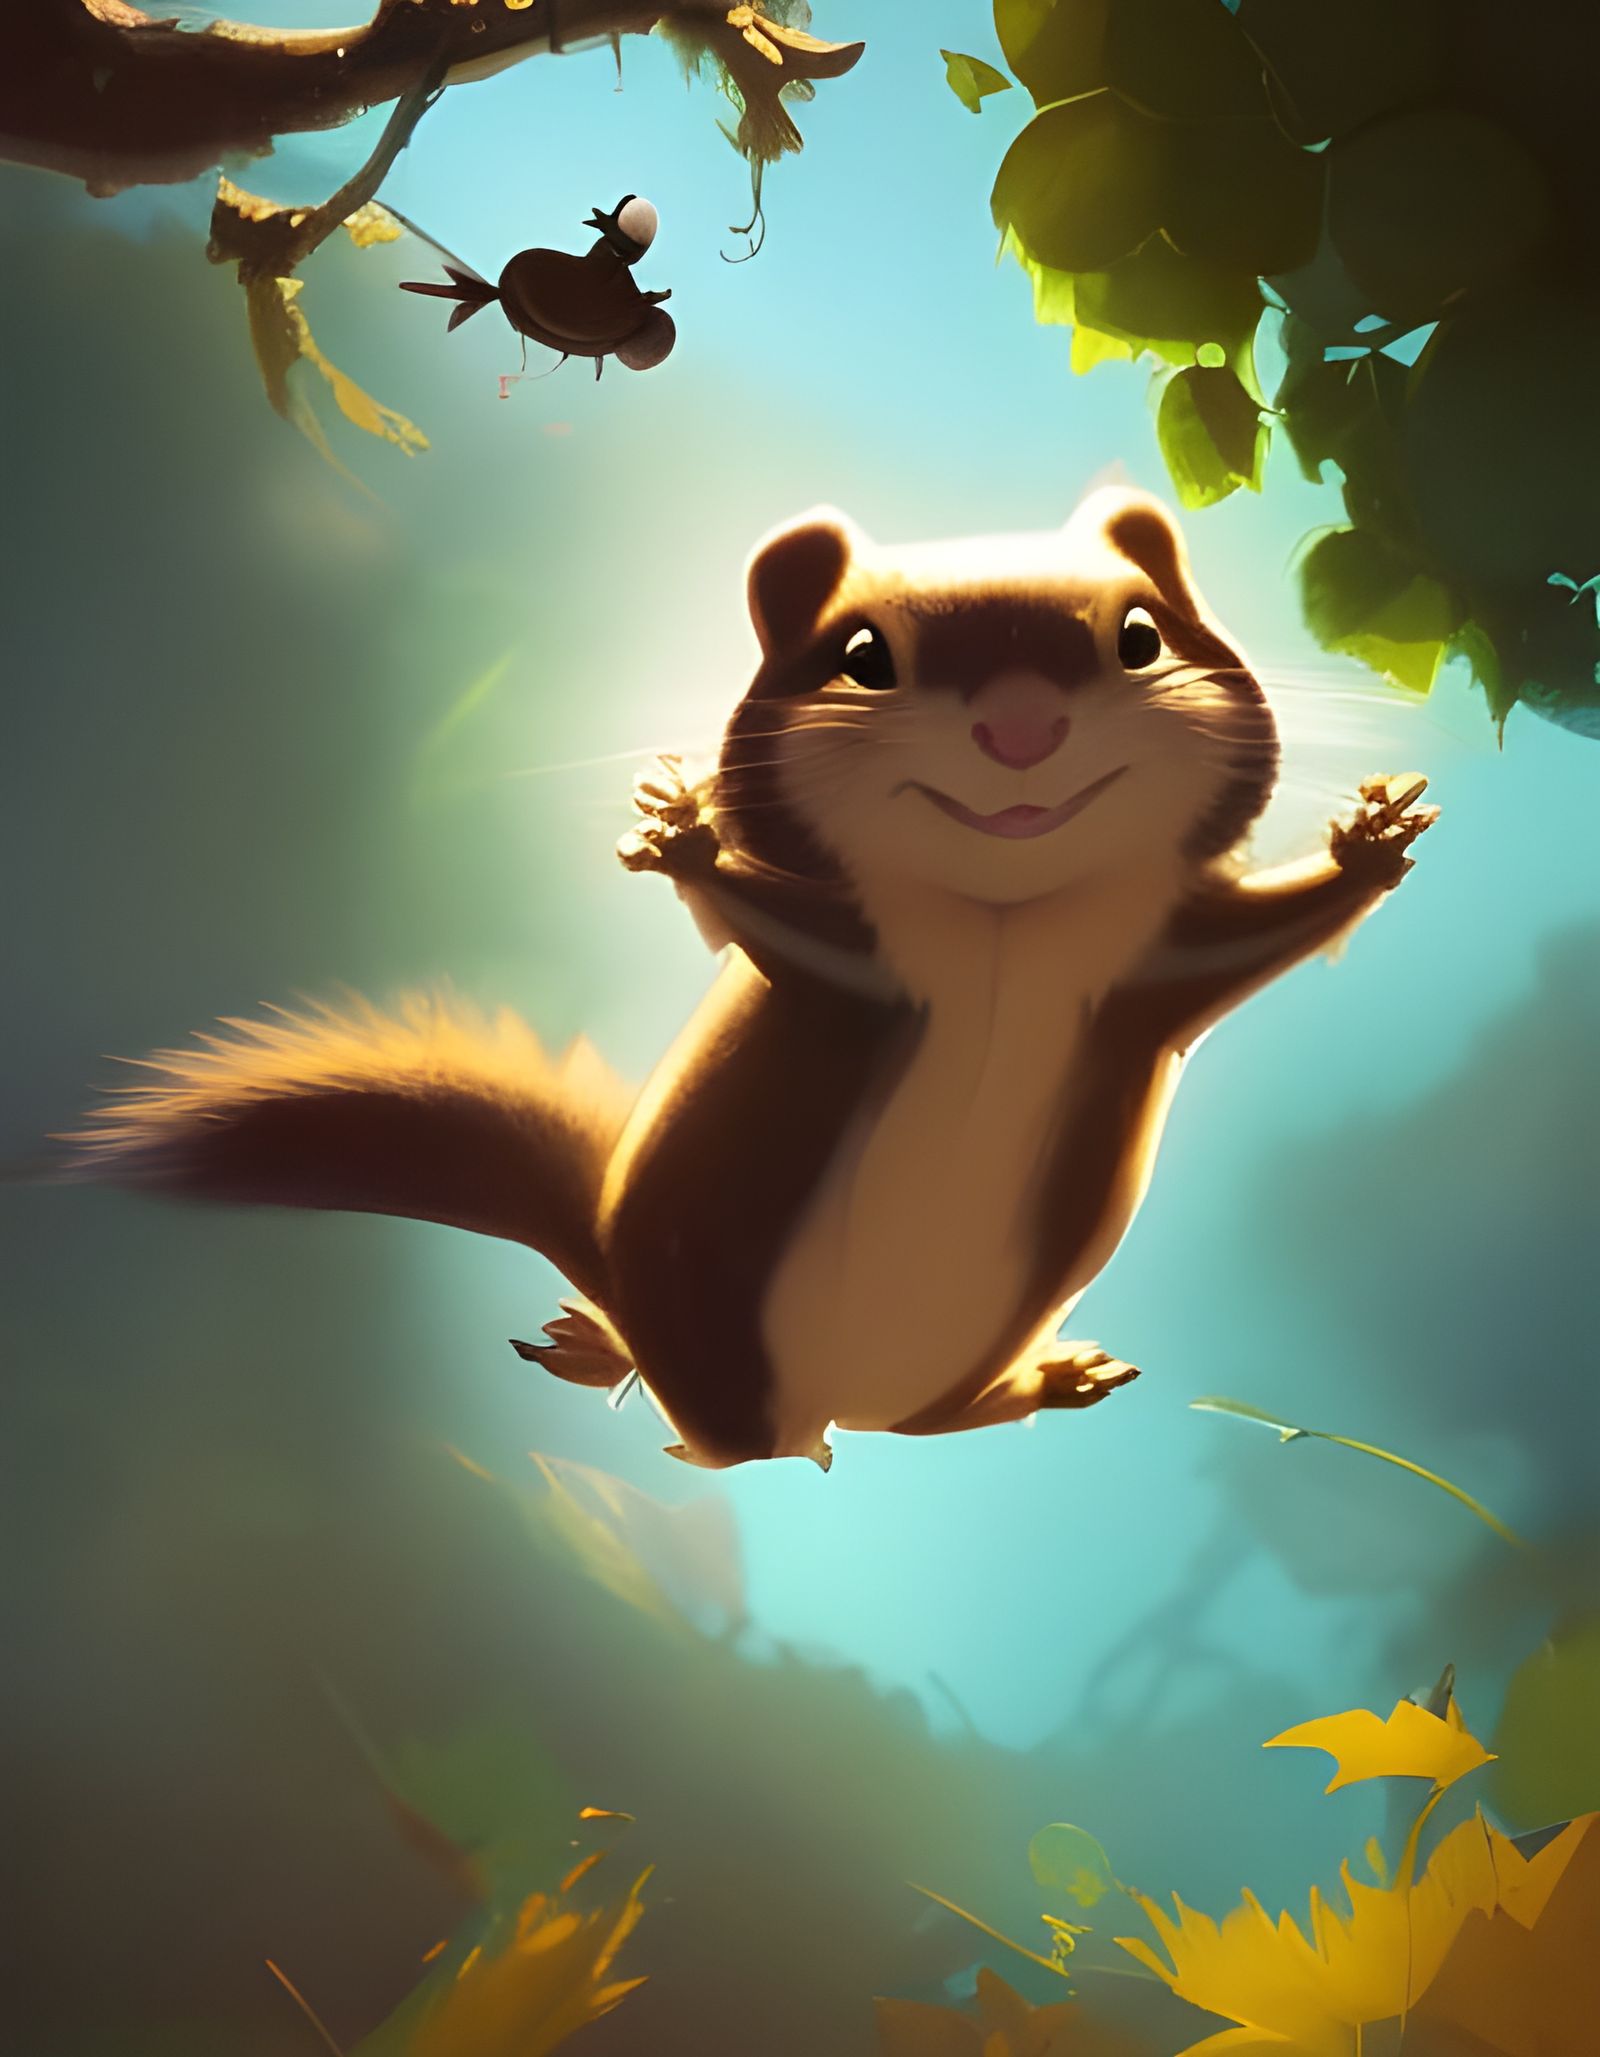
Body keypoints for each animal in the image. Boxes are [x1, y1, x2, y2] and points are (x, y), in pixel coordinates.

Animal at [63, 489, 1438, 1472]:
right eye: (864, 653)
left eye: (1141, 635)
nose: (1021, 729)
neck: (1001, 924)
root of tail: (823, 1415)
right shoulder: (854, 974)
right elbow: (767, 927)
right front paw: (678, 832)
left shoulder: (1147, 964)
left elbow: (1256, 941)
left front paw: (1372, 839)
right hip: (720, 1341)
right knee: (720, 1444)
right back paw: (615, 1355)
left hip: (958, 1349)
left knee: (925, 1425)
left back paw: (1044, 1378)